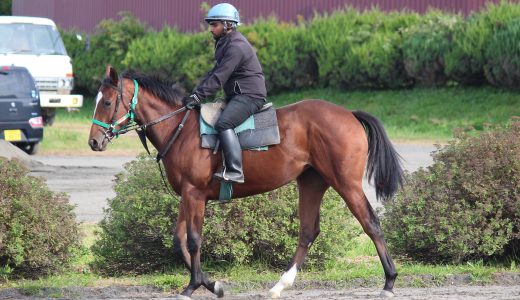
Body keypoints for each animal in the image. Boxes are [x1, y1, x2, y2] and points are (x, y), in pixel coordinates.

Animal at [89, 67, 404, 298]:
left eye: (107, 102)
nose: (93, 142)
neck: (180, 128)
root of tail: (348, 113)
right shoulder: (187, 196)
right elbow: (179, 240)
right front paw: (211, 284)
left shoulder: (195, 195)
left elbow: (193, 240)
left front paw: (193, 286)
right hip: (311, 183)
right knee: (307, 232)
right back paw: (280, 285)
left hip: (346, 184)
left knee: (371, 224)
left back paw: (389, 282)